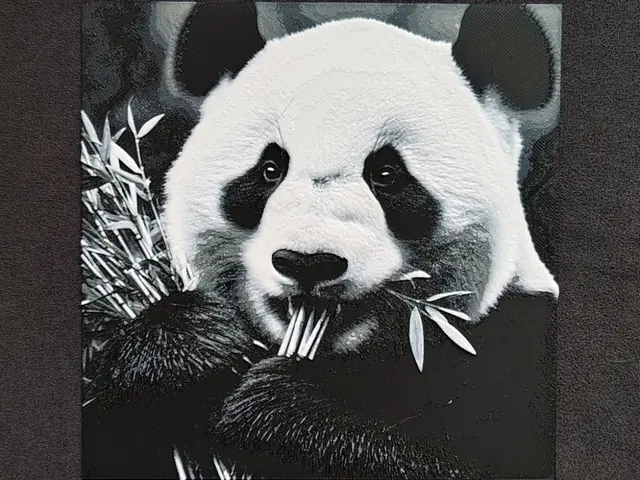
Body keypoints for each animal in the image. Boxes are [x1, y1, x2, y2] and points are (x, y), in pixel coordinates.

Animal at [83, 6, 559, 480]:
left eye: (386, 175)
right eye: (270, 169)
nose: (308, 262)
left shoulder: (514, 354)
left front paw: (282, 410)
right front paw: (188, 347)